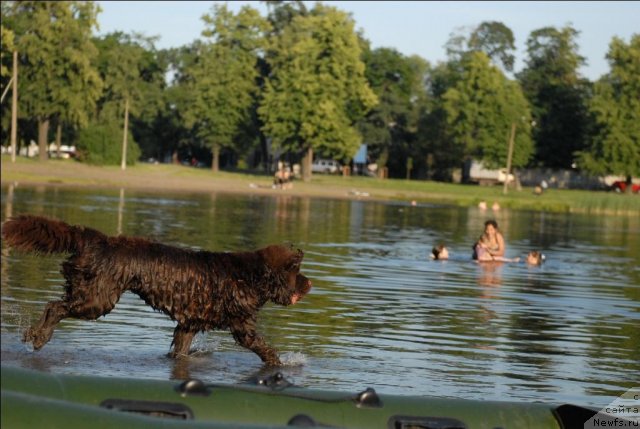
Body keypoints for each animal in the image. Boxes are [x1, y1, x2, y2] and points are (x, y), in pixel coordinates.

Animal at [1, 214, 312, 364]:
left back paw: (32, 334)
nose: (309, 283)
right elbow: (264, 348)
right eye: (295, 271)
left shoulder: (188, 324)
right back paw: (39, 337)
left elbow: (180, 350)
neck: (250, 276)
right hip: (96, 299)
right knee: (55, 307)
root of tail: (97, 239)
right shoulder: (241, 325)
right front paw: (282, 365)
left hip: (89, 292)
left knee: (54, 305)